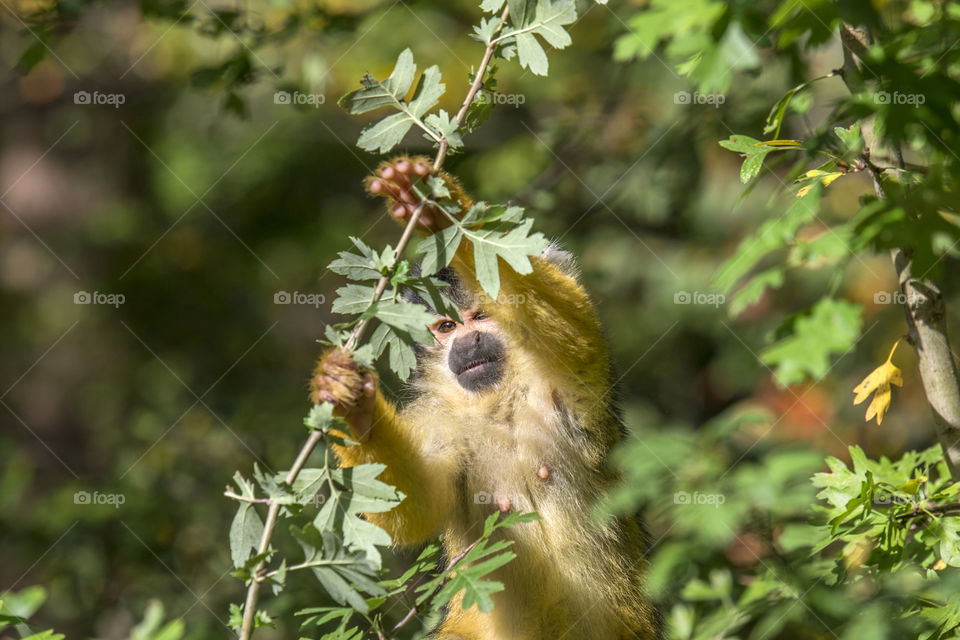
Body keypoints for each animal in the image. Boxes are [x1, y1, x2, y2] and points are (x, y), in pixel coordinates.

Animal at [311, 156, 661, 640]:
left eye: (480, 316)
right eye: (446, 327)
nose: (468, 343)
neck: (501, 403)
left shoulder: (575, 381)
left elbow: (573, 337)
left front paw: (441, 211)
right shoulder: (439, 416)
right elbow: (414, 506)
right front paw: (351, 402)